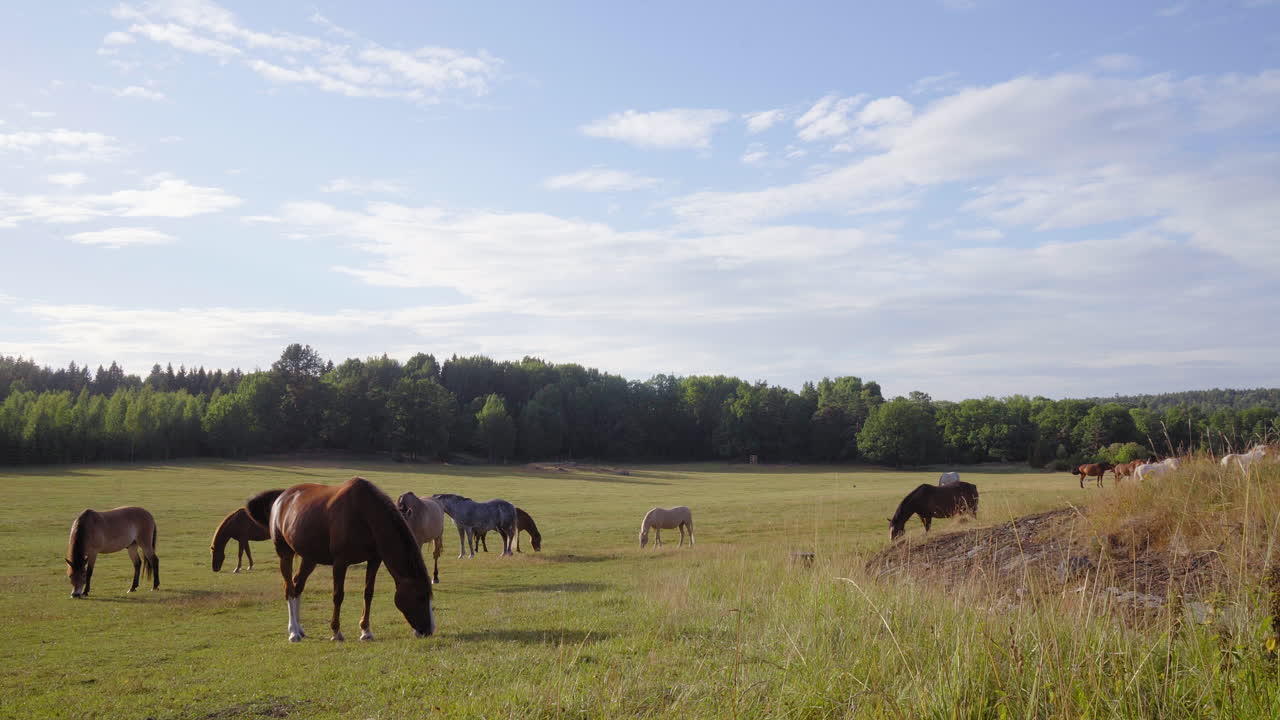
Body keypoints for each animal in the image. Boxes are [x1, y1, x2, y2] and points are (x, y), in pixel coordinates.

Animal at [246, 477, 434, 642]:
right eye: (420, 597)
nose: (429, 630)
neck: (364, 514)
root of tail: (282, 497)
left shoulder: (374, 560)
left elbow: (368, 593)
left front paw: (366, 631)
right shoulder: (340, 563)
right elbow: (338, 595)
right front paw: (336, 632)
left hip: (309, 558)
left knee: (297, 585)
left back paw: (299, 628)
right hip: (285, 553)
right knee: (289, 589)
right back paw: (293, 632)